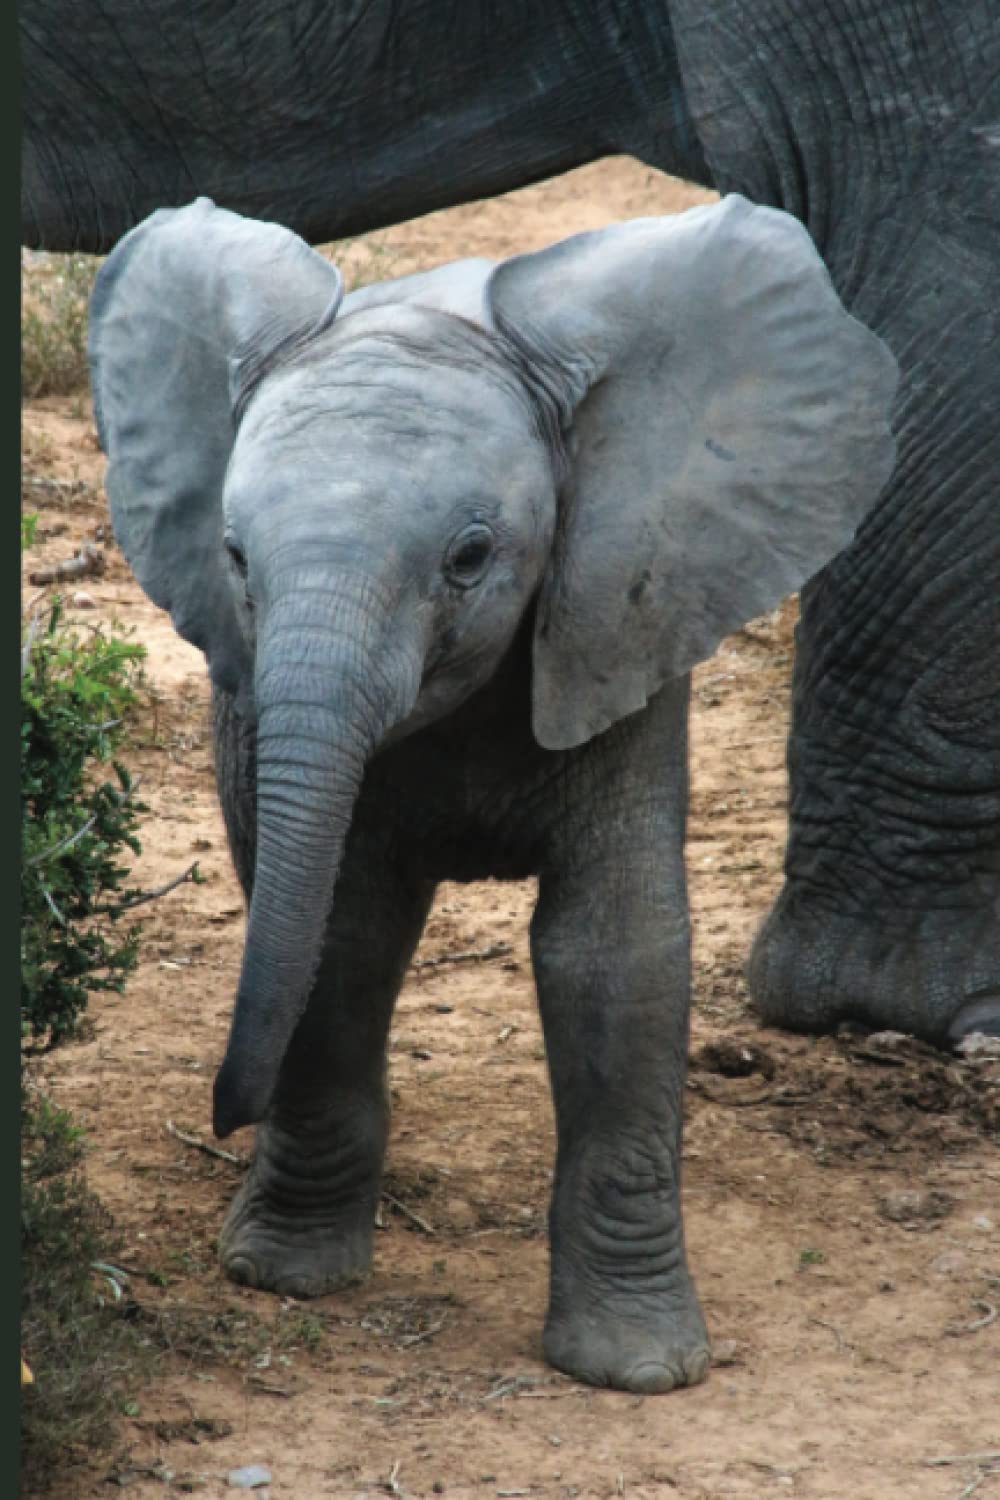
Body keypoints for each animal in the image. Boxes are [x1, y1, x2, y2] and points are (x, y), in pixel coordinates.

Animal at [89, 193, 898, 1391]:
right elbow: (344, 932)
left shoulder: (620, 613)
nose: (225, 1116)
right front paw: (284, 1278)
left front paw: (635, 1370)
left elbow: (612, 957)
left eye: (471, 557)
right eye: (233, 556)